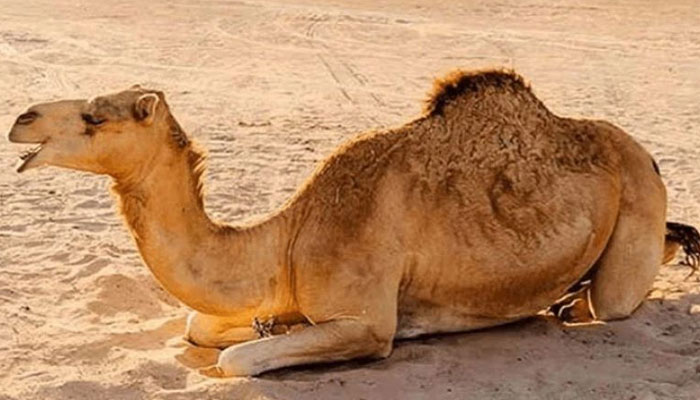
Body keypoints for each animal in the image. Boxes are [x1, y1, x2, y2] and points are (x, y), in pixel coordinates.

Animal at [8, 70, 700, 377]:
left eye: (96, 117)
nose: (21, 117)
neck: (286, 238)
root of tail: (643, 154)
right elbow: (201, 326)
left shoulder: (367, 323)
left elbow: (237, 359)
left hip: (633, 219)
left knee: (614, 300)